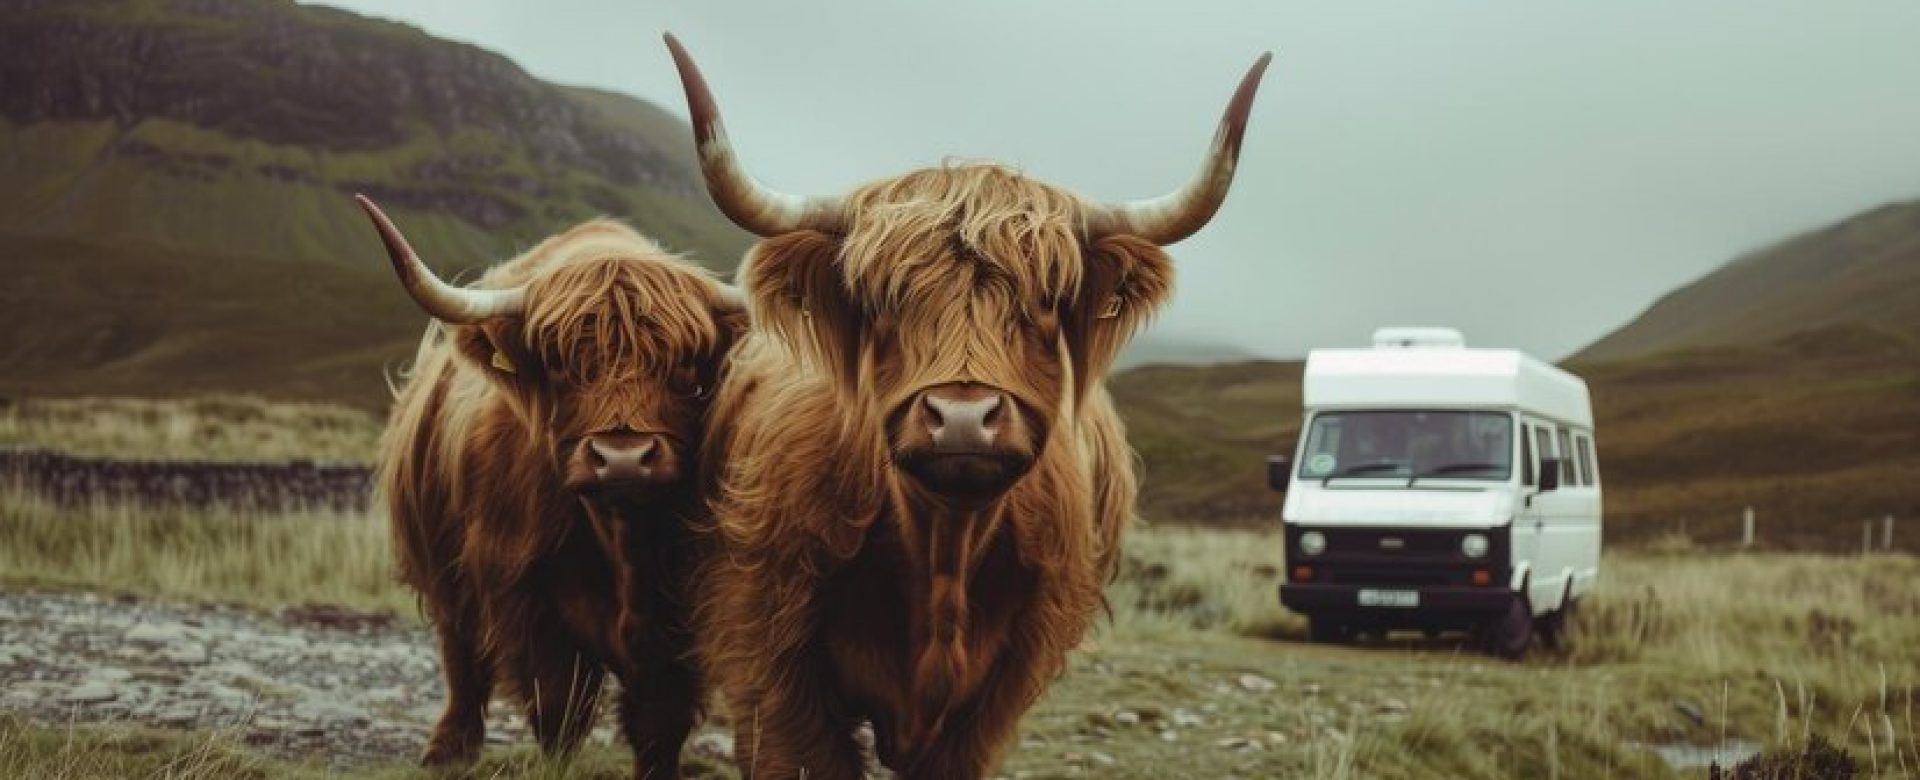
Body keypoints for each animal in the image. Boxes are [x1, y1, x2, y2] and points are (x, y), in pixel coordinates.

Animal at [360, 197, 741, 776]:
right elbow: (560, 711)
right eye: (560, 363)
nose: (623, 458)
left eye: (684, 363)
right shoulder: (527, 599)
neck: (623, 545)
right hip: (443, 568)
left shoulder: (679, 619)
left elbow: (660, 723)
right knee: (461, 655)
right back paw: (447, 749)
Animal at [668, 33, 1267, 776]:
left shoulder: (997, 694)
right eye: (881, 301)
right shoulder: (770, 662)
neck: (943, 557)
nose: (961, 419)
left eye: (1048, 300)